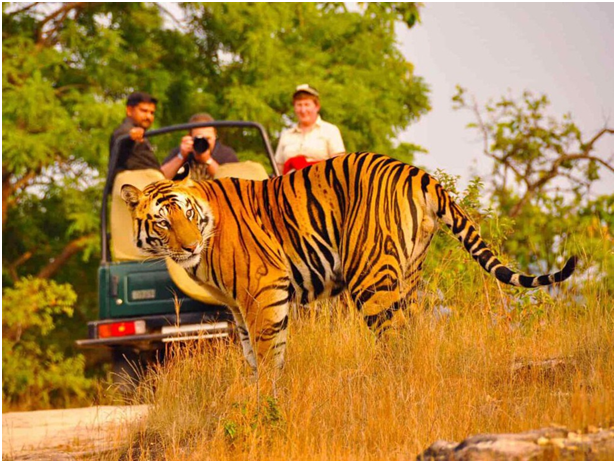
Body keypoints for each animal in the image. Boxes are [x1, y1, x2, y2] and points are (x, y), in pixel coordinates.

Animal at [121, 152, 576, 374]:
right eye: (163, 221)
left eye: (187, 214)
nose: (189, 246)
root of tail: (418, 173)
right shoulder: (238, 306)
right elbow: (254, 355)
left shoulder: (263, 291)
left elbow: (269, 355)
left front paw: (267, 404)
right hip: (408, 274)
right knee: (413, 333)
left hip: (370, 276)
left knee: (395, 339)